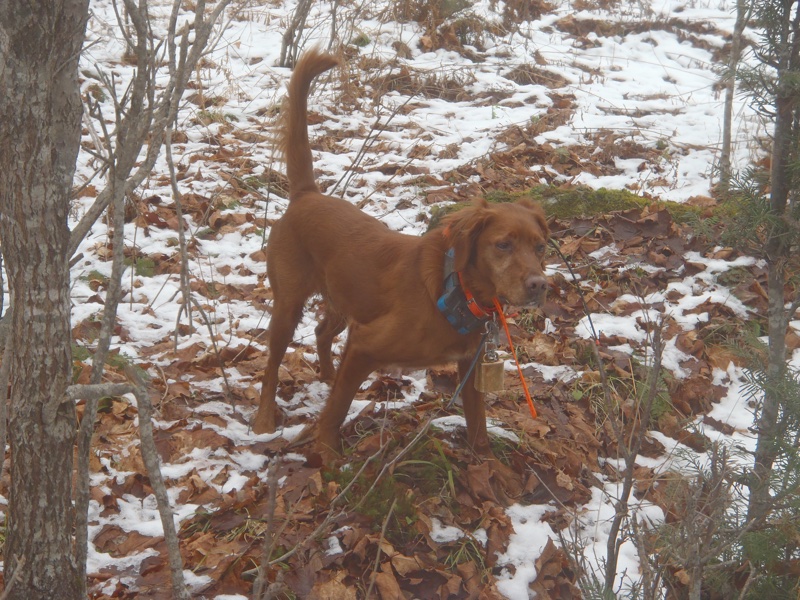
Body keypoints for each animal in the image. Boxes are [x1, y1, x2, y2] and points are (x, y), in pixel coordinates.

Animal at [256, 49, 552, 466]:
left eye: (540, 246)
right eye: (503, 245)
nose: (539, 285)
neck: (454, 291)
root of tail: (307, 195)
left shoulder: (469, 365)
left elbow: (477, 422)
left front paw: (486, 465)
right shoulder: (365, 344)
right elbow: (336, 410)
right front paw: (327, 457)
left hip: (345, 299)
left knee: (322, 332)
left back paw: (327, 376)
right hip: (289, 304)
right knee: (271, 367)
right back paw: (265, 420)